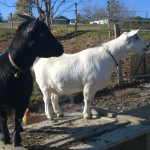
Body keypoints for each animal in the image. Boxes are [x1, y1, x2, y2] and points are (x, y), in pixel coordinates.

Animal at [0, 14, 63, 146]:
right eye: (42, 34)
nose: (61, 48)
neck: (15, 71)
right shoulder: (1, 101)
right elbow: (3, 119)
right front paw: (5, 138)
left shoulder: (23, 99)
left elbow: (17, 119)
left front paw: (16, 139)